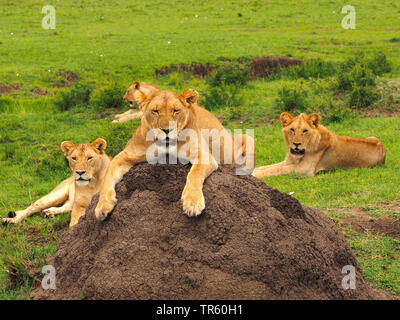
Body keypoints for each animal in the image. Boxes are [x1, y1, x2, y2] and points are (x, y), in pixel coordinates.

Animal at [95, 81, 255, 221]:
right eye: (155, 111)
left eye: (175, 111)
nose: (166, 130)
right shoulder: (125, 155)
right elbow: (108, 177)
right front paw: (102, 206)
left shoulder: (203, 155)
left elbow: (194, 174)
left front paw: (192, 202)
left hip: (247, 139)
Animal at [252, 112, 386, 178]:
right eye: (292, 130)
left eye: (305, 131)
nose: (296, 144)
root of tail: (382, 147)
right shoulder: (288, 162)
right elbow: (267, 167)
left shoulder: (304, 170)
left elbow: (277, 169)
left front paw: (254, 174)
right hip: (372, 137)